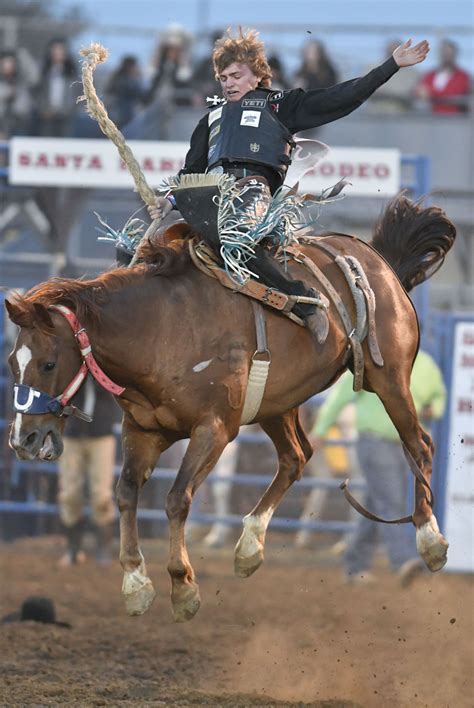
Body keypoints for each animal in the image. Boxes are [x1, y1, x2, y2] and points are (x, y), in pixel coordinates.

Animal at [4, 195, 456, 620]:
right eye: (12, 362)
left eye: (48, 363)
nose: (24, 438)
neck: (158, 328)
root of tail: (378, 262)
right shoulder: (142, 430)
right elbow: (126, 493)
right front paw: (135, 583)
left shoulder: (215, 429)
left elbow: (177, 498)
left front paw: (183, 586)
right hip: (278, 403)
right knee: (296, 457)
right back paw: (249, 546)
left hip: (389, 377)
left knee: (419, 444)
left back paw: (429, 539)